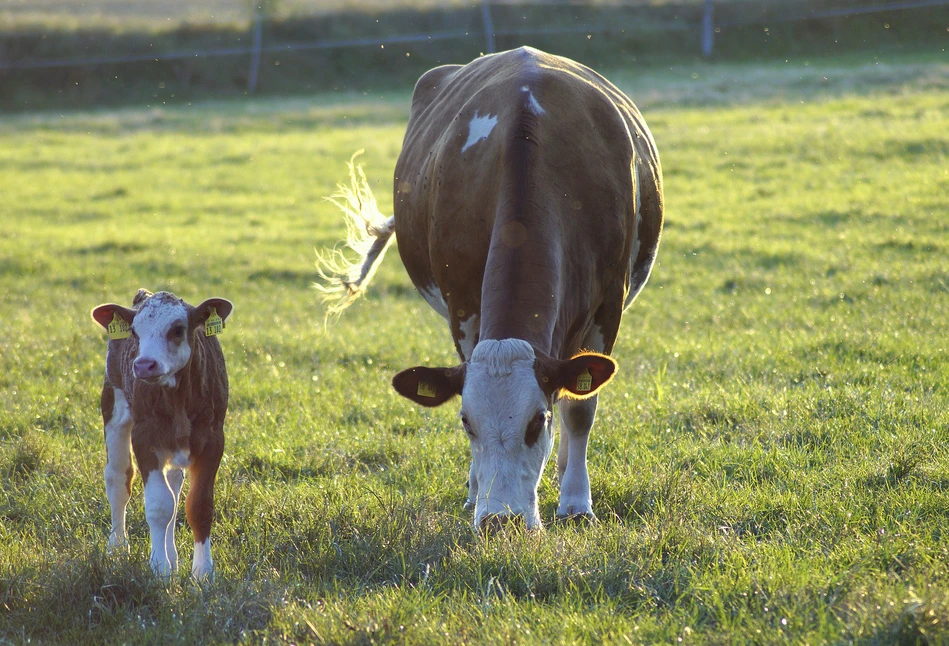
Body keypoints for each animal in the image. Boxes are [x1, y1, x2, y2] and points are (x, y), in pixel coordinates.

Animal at [91, 292, 233, 580]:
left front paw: (203, 573)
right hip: (113, 401)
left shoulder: (213, 439)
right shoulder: (145, 438)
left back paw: (173, 556)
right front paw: (160, 569)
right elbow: (159, 505)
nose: (144, 365)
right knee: (118, 477)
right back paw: (118, 547)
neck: (178, 399)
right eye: (135, 332)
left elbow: (198, 505)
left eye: (177, 330)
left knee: (174, 486)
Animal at [316, 45, 660, 532]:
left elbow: (579, 409)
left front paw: (576, 502)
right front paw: (476, 489)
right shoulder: (462, 305)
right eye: (466, 422)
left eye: (536, 422)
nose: (501, 520)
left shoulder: (608, 306)